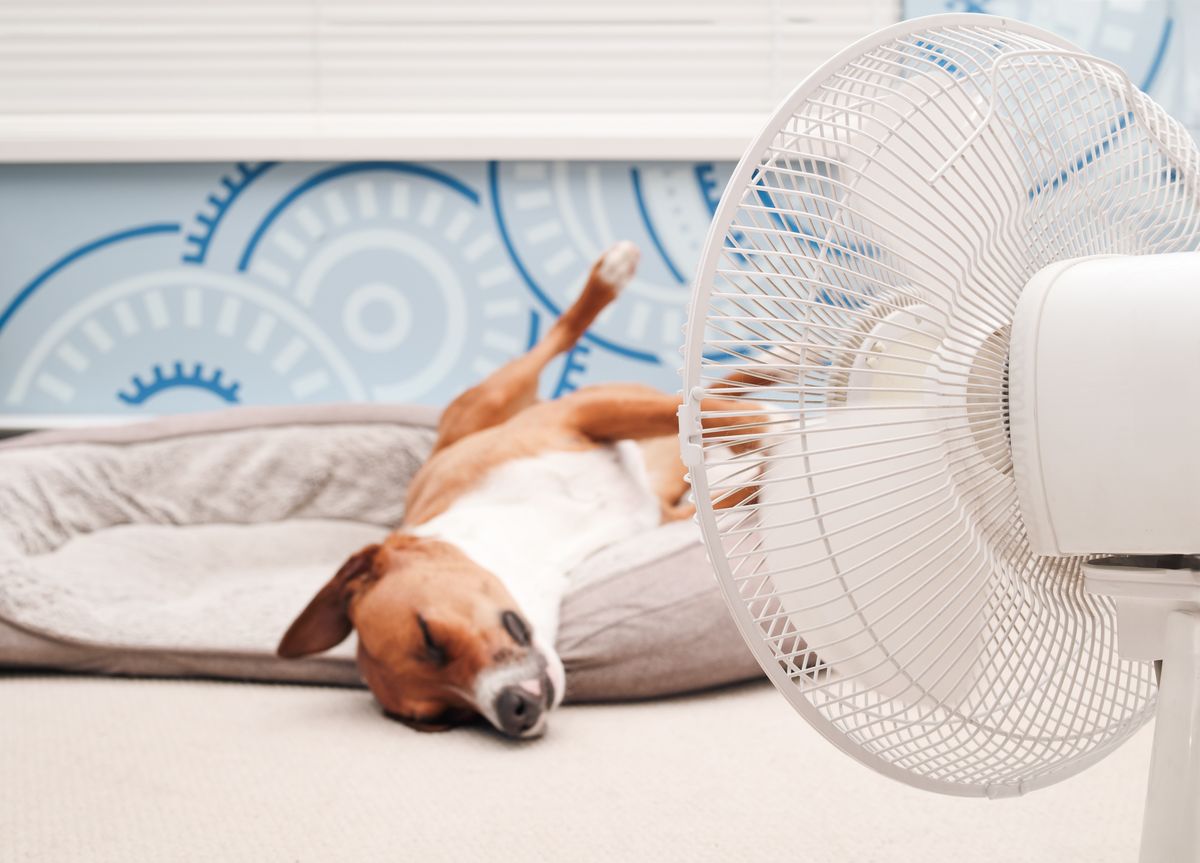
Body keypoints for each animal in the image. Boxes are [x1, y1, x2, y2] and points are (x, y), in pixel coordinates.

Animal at [276, 244, 753, 744]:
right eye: (446, 718)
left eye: (429, 637)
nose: (514, 711)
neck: (536, 543)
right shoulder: (670, 512)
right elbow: (738, 470)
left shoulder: (580, 414)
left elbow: (743, 419)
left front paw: (769, 431)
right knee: (721, 391)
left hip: (493, 401)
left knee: (562, 341)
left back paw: (611, 278)